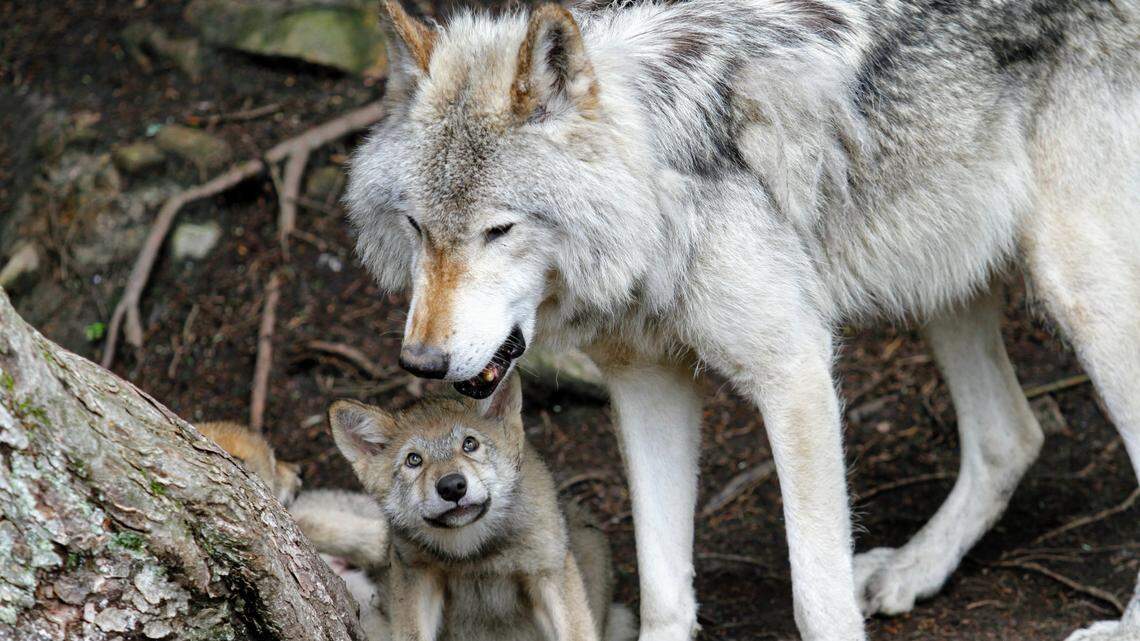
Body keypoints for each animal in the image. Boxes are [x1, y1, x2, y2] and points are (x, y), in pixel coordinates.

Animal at [328, 373, 634, 641]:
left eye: (469, 444)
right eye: (414, 460)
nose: (452, 487)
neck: (475, 554)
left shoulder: (549, 572)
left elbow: (577, 631)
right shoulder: (416, 574)